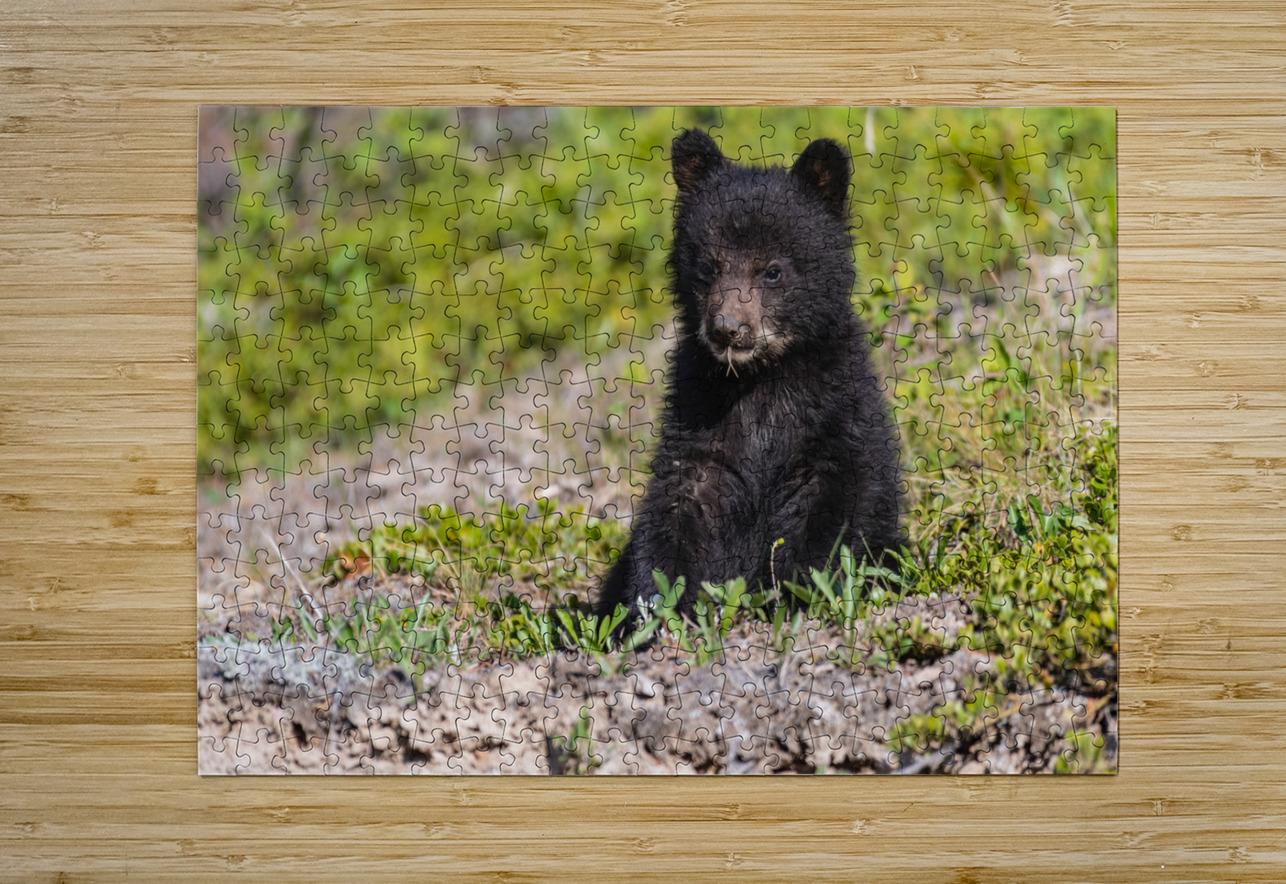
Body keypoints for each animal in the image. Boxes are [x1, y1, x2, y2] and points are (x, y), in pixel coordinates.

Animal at [597, 127, 904, 623]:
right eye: (709, 266)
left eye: (773, 271)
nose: (727, 328)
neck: (760, 380)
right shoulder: (699, 416)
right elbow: (678, 506)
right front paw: (656, 605)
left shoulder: (837, 413)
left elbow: (835, 507)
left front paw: (800, 588)